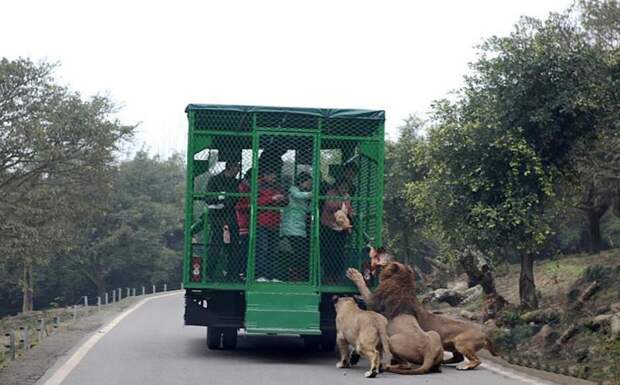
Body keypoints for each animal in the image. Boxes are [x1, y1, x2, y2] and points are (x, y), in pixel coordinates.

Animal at [346, 260, 502, 368]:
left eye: (385, 264)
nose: (378, 265)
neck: (403, 283)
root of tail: (485, 334)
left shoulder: (374, 302)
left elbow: (364, 289)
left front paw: (355, 274)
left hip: (461, 343)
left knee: (476, 360)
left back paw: (464, 366)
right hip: (452, 345)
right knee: (458, 357)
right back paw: (445, 362)